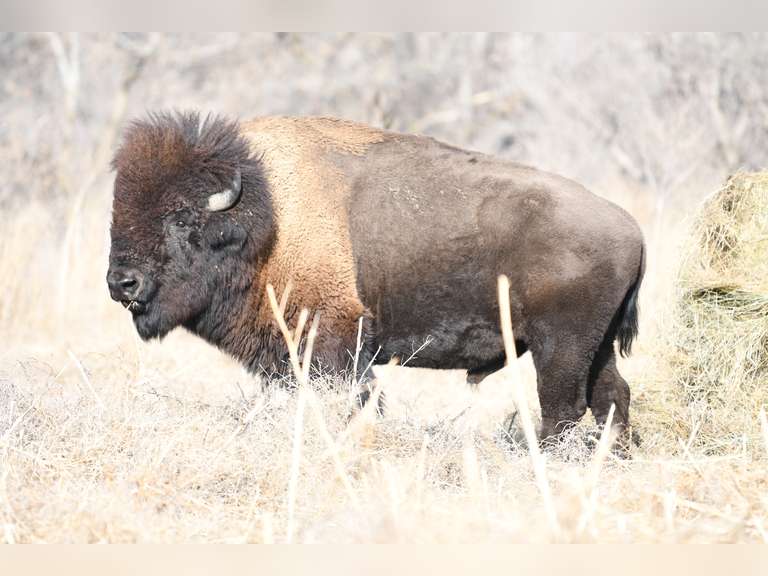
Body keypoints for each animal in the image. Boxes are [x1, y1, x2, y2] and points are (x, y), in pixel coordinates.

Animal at [107, 111, 645, 444]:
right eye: (118, 212)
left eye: (181, 218)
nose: (121, 283)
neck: (265, 216)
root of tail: (630, 228)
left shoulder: (334, 343)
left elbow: (358, 398)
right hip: (594, 348)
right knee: (612, 395)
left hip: (561, 346)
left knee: (563, 406)